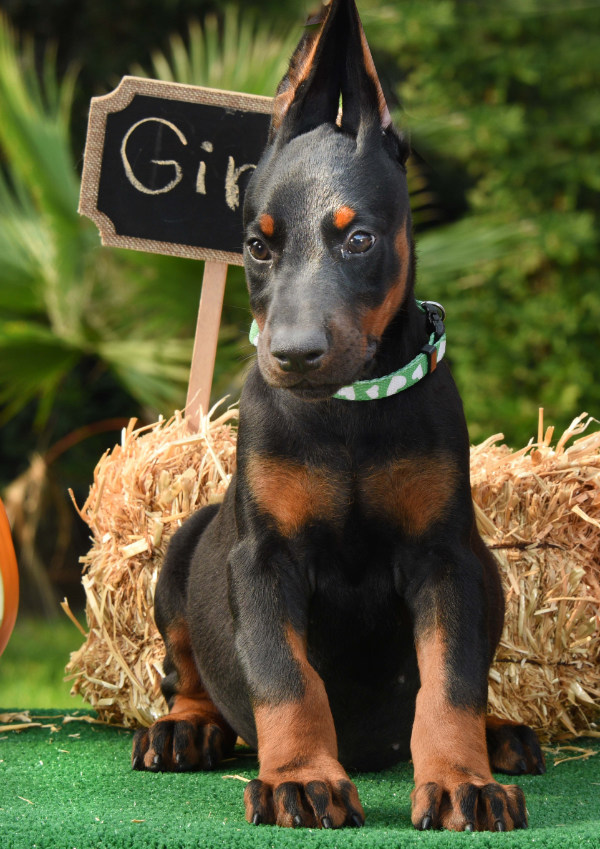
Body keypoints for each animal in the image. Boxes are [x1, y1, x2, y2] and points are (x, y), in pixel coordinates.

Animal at [134, 0, 548, 832]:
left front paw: (461, 780)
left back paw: (501, 733)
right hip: (185, 549)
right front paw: (301, 777)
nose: (293, 356)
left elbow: (452, 679)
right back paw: (184, 727)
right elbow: (287, 679)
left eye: (359, 238)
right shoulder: (261, 559)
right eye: (256, 246)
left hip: (489, 567)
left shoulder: (445, 558)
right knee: (184, 667)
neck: (347, 415)